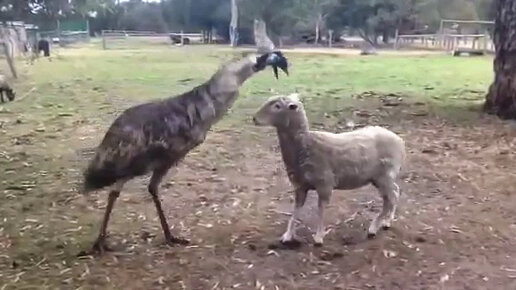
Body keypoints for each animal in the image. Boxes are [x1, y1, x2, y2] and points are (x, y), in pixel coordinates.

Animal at [81, 51, 290, 255]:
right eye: (260, 59)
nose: (278, 60)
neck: (202, 107)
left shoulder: (168, 161)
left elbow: (153, 188)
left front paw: (170, 236)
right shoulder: (158, 159)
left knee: (125, 190)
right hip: (128, 166)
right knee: (113, 192)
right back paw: (99, 243)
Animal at [252, 94, 406, 246]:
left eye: (277, 106)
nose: (254, 118)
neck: (305, 146)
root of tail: (400, 140)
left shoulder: (324, 184)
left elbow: (321, 210)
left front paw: (319, 237)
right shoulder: (300, 185)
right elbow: (296, 209)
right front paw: (288, 235)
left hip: (384, 175)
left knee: (390, 198)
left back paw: (373, 228)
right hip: (380, 177)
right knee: (394, 193)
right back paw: (387, 221)